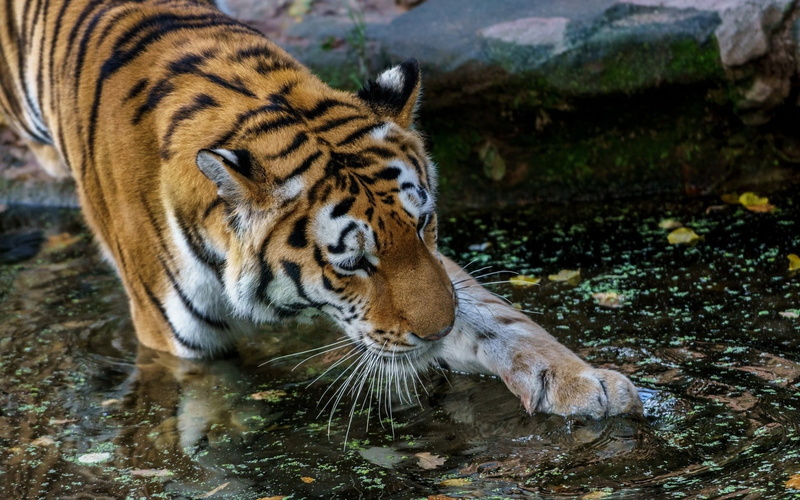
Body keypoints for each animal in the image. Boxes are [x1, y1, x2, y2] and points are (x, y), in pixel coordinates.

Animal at [0, 0, 642, 418]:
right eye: (353, 263)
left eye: (424, 223)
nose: (437, 332)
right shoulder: (178, 344)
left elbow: (499, 320)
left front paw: (584, 383)